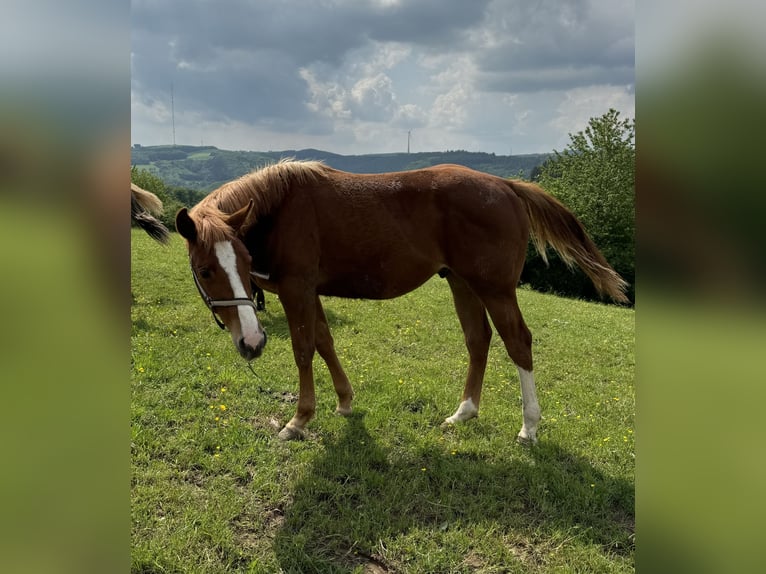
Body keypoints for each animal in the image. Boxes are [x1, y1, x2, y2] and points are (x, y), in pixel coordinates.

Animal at [177, 160, 628, 444]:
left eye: (243, 261)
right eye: (205, 269)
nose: (252, 344)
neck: (281, 207)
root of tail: (507, 188)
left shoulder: (296, 289)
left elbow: (304, 349)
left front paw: (300, 419)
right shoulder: (311, 292)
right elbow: (325, 341)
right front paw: (344, 401)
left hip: (495, 289)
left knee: (517, 341)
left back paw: (529, 426)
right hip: (462, 283)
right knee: (478, 339)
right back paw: (464, 412)